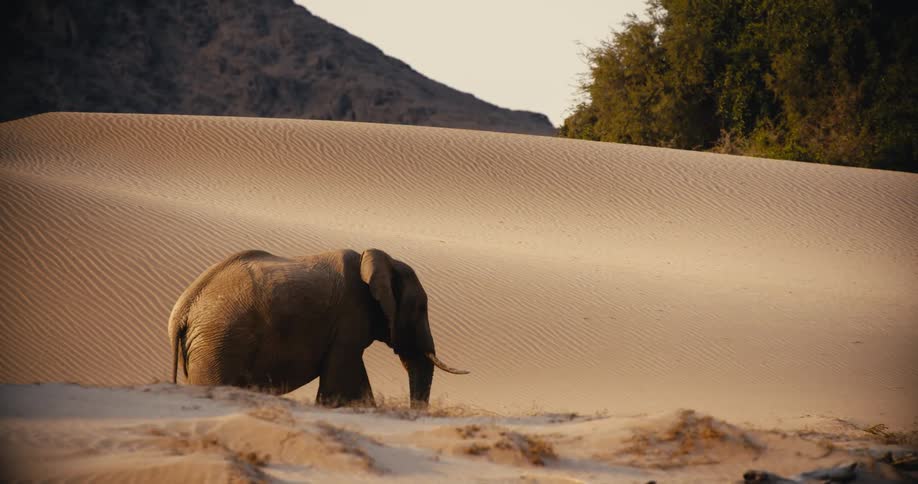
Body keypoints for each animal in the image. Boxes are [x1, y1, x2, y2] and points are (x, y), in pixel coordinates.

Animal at [168, 248, 468, 409]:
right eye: (421, 308)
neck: (374, 258)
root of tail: (182, 311)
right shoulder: (350, 314)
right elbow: (342, 377)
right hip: (219, 342)